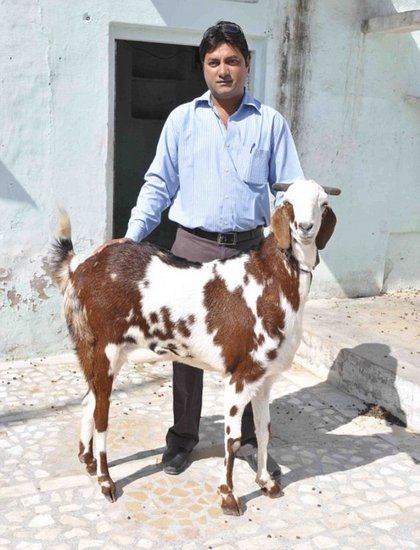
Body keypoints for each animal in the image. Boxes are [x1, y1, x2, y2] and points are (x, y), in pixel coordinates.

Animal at [49, 180, 340, 516]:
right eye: (289, 203)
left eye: (323, 204)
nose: (305, 228)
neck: (272, 280)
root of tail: (80, 269)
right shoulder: (239, 376)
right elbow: (233, 439)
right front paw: (228, 496)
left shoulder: (265, 379)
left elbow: (264, 430)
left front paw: (266, 482)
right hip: (103, 348)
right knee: (102, 416)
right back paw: (106, 482)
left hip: (103, 351)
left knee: (90, 399)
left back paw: (87, 460)